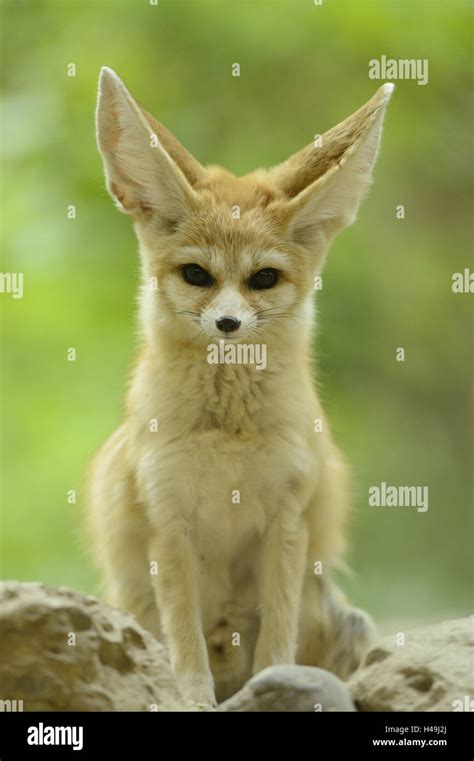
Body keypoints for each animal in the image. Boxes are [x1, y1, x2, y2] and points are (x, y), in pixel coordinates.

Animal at [88, 68, 392, 708]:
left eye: (263, 279)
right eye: (196, 275)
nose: (228, 323)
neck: (228, 433)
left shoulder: (288, 519)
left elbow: (276, 637)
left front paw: (276, 686)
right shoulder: (168, 520)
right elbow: (185, 644)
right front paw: (193, 697)